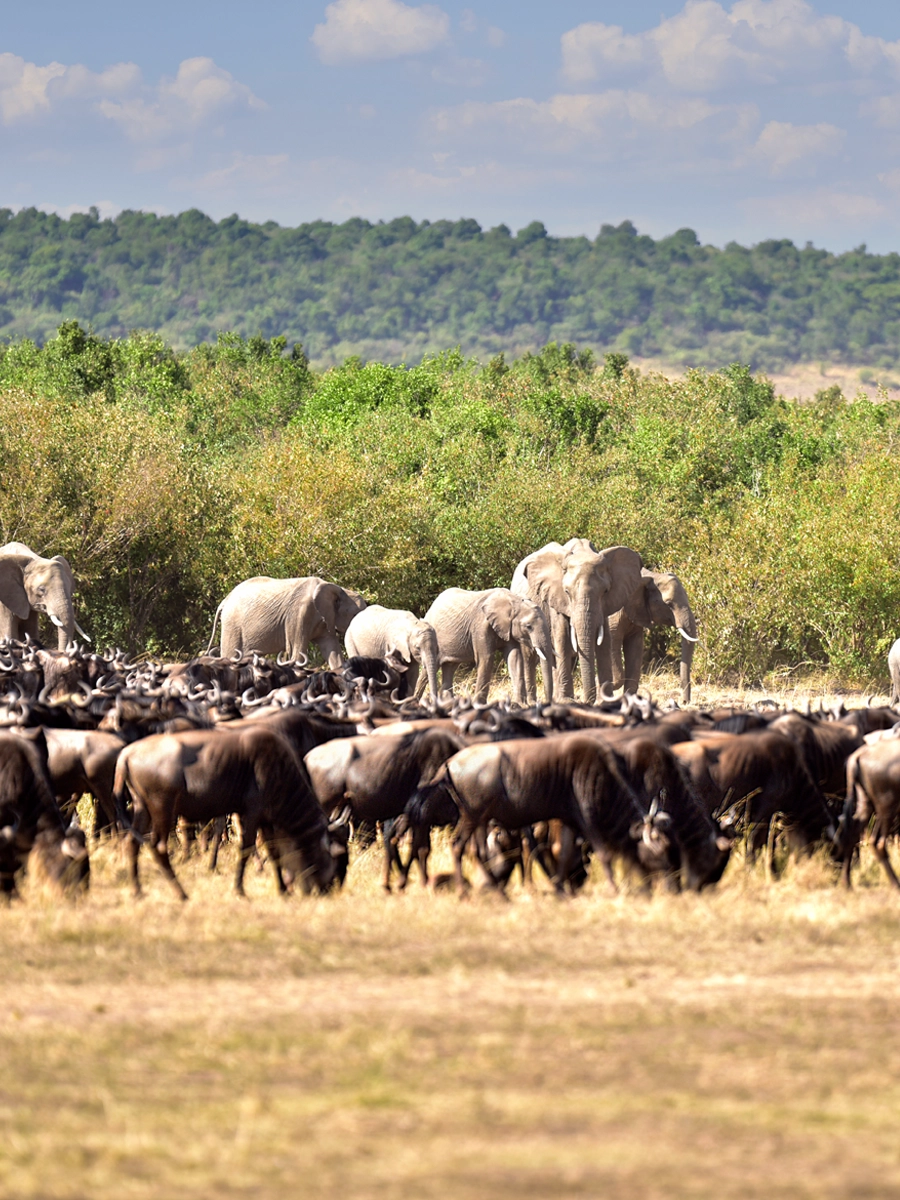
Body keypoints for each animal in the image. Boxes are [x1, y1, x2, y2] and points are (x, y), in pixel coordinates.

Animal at [207, 576, 367, 672]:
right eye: (354, 615)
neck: (338, 588)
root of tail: (225, 600)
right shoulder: (299, 613)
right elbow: (297, 656)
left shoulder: (326, 618)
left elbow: (332, 651)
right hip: (232, 626)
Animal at [417, 588, 556, 705]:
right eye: (528, 626)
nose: (547, 702)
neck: (512, 601)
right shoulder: (480, 626)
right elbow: (486, 659)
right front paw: (478, 705)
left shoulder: (508, 629)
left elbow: (515, 659)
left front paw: (519, 705)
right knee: (430, 668)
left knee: (450, 666)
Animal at [511, 537, 643, 700]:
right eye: (567, 592)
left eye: (605, 591)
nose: (587, 700)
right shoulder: (556, 601)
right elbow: (562, 640)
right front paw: (566, 700)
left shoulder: (605, 608)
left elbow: (604, 643)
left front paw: (605, 700)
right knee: (529, 657)